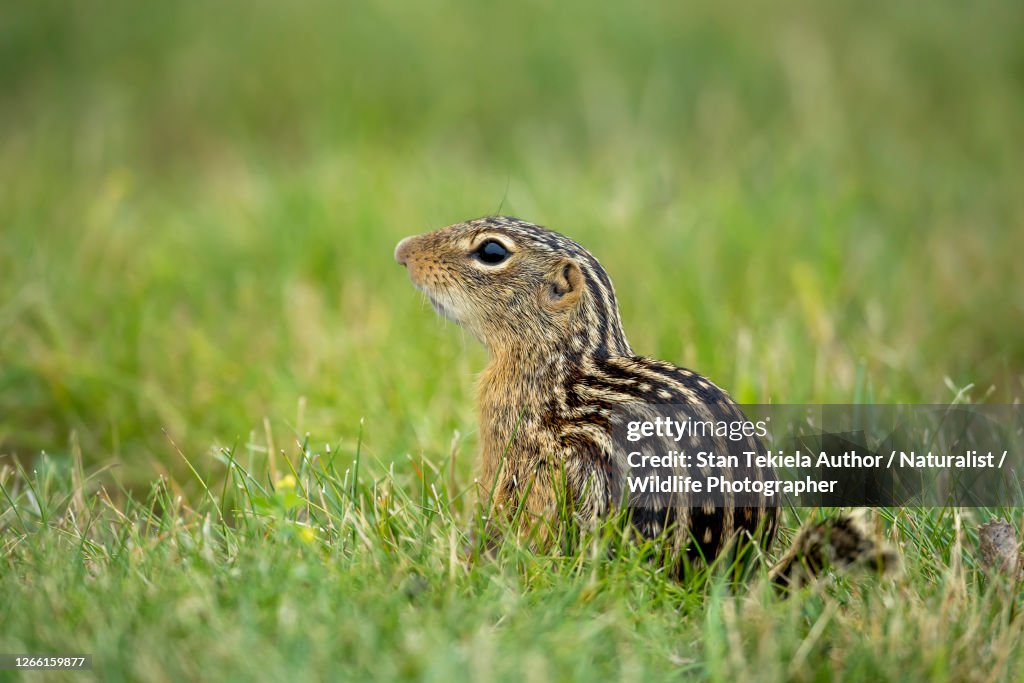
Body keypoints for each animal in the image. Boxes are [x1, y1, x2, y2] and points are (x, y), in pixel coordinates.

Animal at [395, 216, 897, 583]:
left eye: (492, 252)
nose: (402, 251)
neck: (561, 362)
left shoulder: (513, 456)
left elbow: (502, 514)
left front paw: (472, 563)